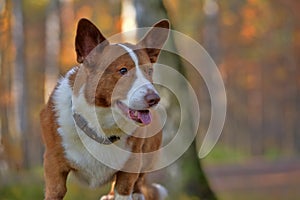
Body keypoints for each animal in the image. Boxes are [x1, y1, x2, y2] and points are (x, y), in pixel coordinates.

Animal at [40, 18, 169, 200]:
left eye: (149, 71)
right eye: (122, 70)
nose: (154, 99)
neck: (101, 126)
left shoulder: (131, 165)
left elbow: (124, 188)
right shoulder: (53, 164)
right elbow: (55, 191)